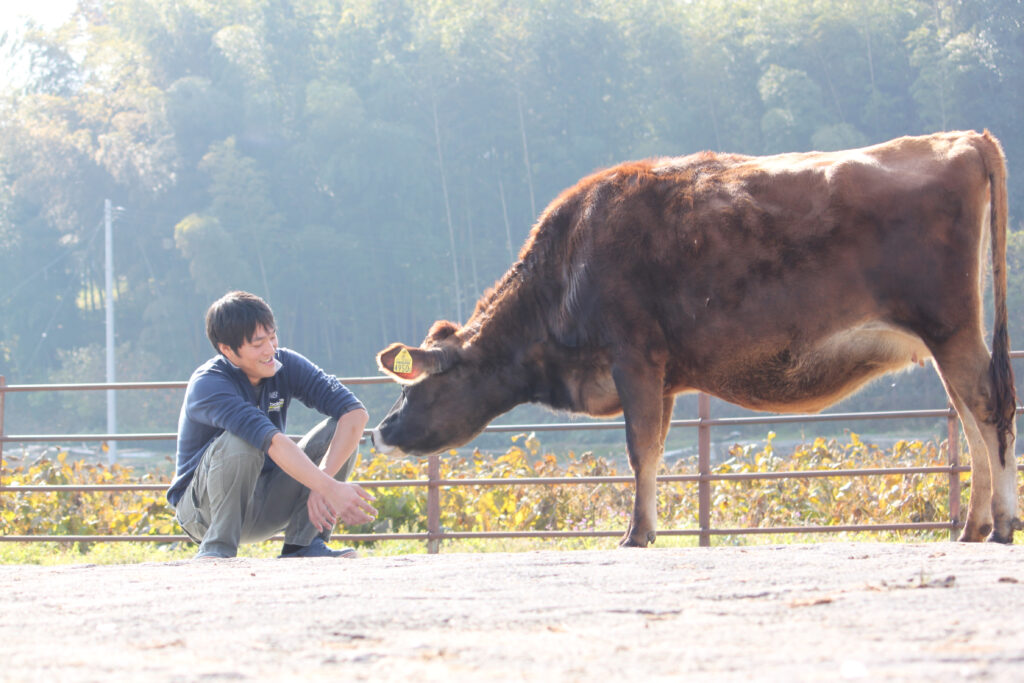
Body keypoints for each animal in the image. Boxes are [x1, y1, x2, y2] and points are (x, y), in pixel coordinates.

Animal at [368, 132, 1015, 544]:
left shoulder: (634, 356)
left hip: (949, 325)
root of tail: (960, 138)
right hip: (945, 337)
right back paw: (973, 526)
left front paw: (637, 533)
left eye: (411, 386)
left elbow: (640, 449)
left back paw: (1002, 523)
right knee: (972, 418)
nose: (381, 431)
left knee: (989, 407)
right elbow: (654, 447)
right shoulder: (666, 375)